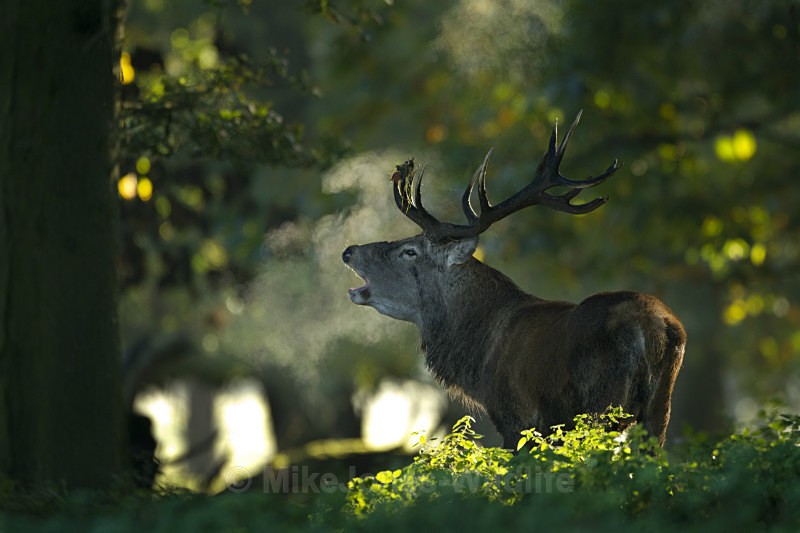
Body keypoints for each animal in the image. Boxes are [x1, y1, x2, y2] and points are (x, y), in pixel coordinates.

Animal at [341, 112, 686, 448]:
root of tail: (657, 328)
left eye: (409, 251)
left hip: (600, 404)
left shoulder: (516, 416)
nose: (348, 251)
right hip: (660, 409)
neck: (477, 359)